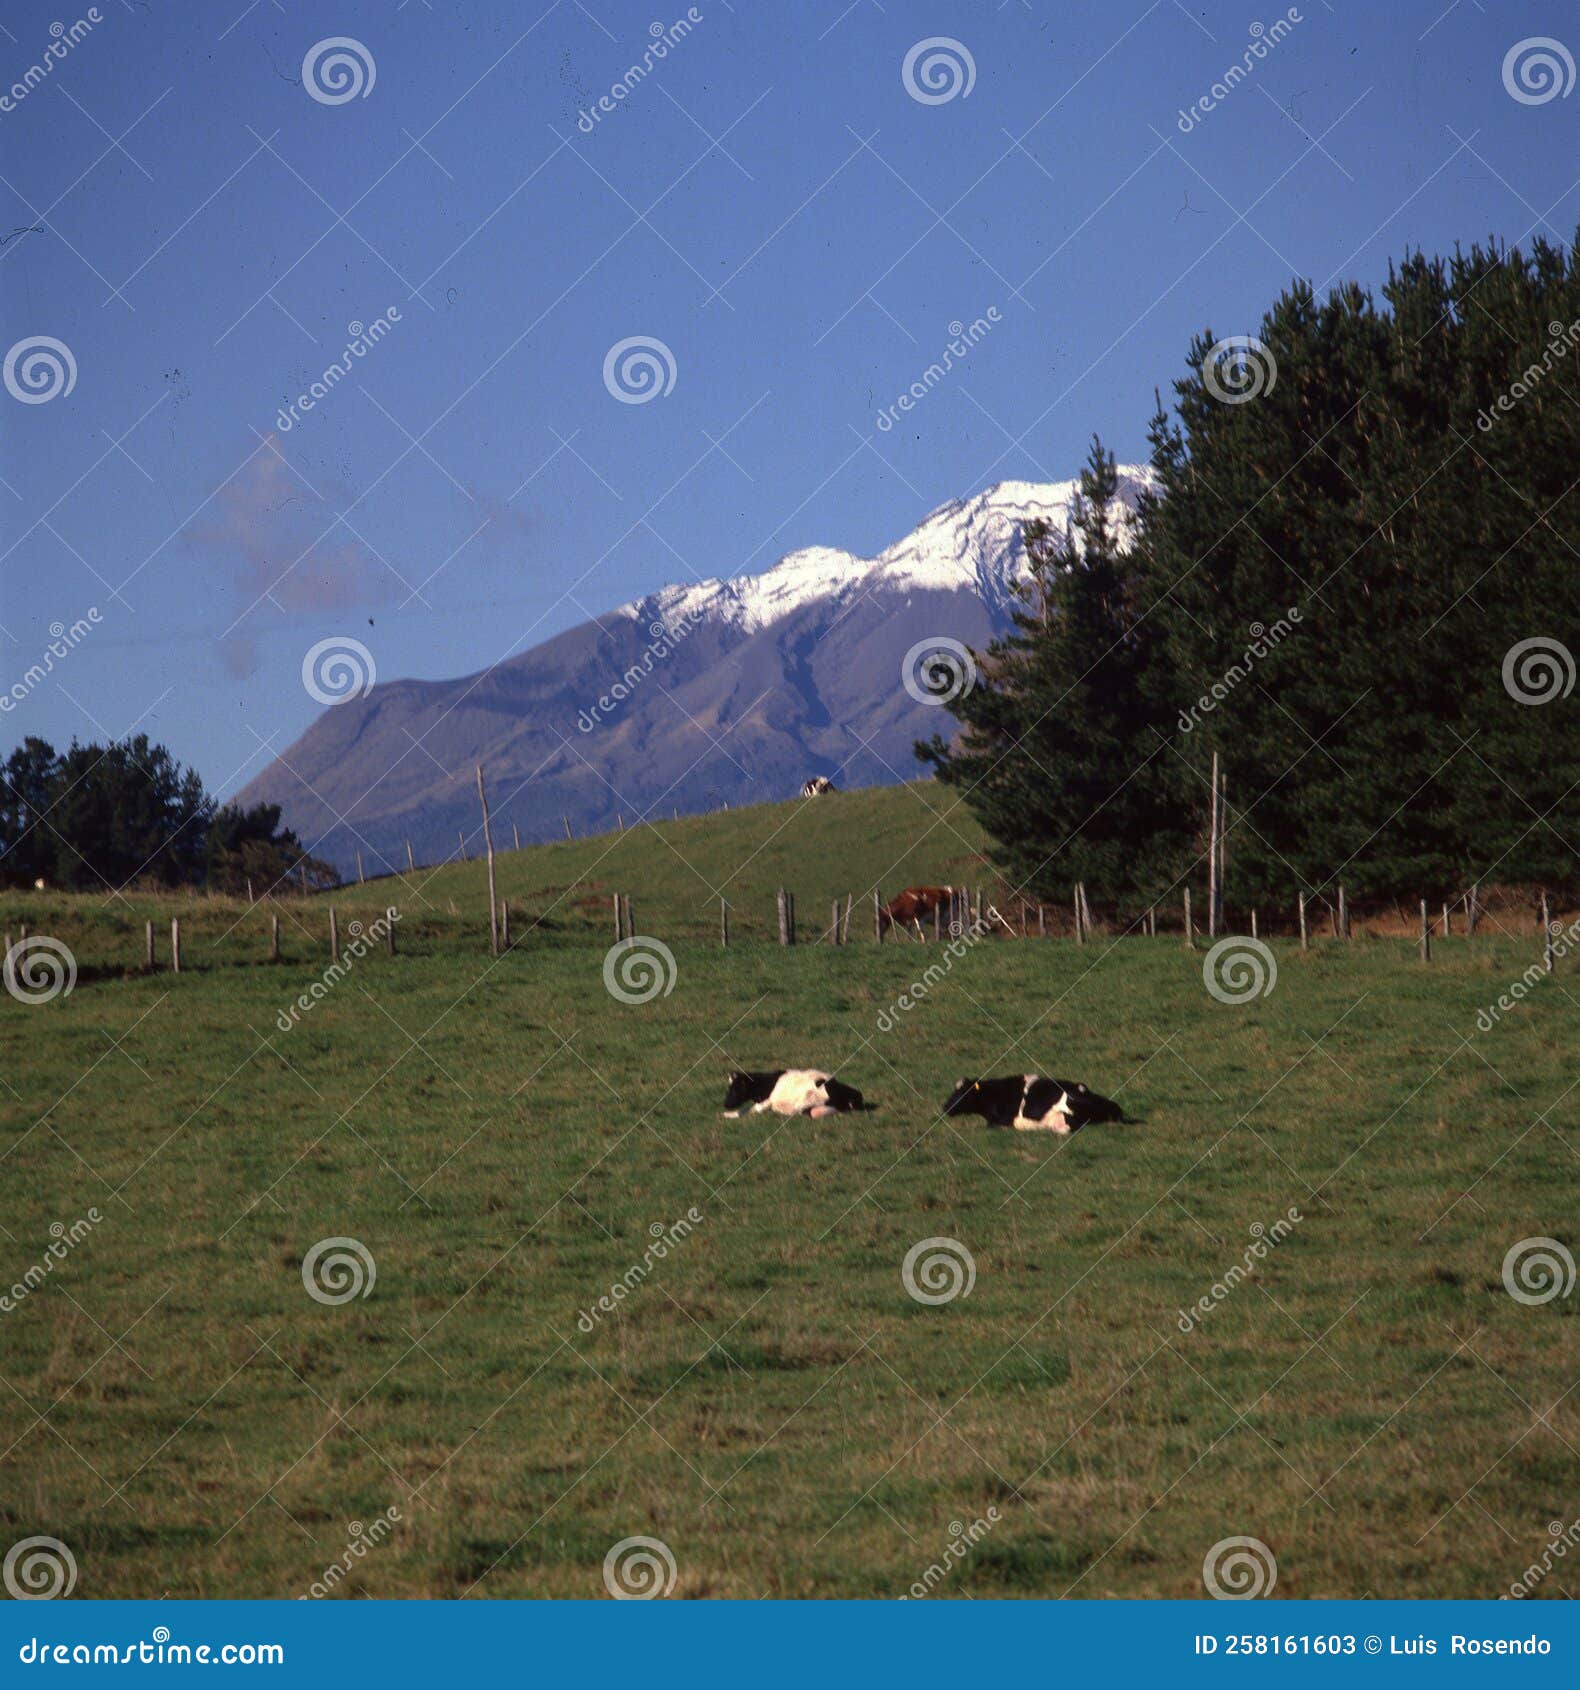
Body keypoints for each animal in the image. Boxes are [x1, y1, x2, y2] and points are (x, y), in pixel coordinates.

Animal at [726, 1068, 865, 1122]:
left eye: (735, 1088)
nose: (725, 1104)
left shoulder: (765, 1102)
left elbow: (750, 1111)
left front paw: (729, 1115)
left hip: (807, 1101)